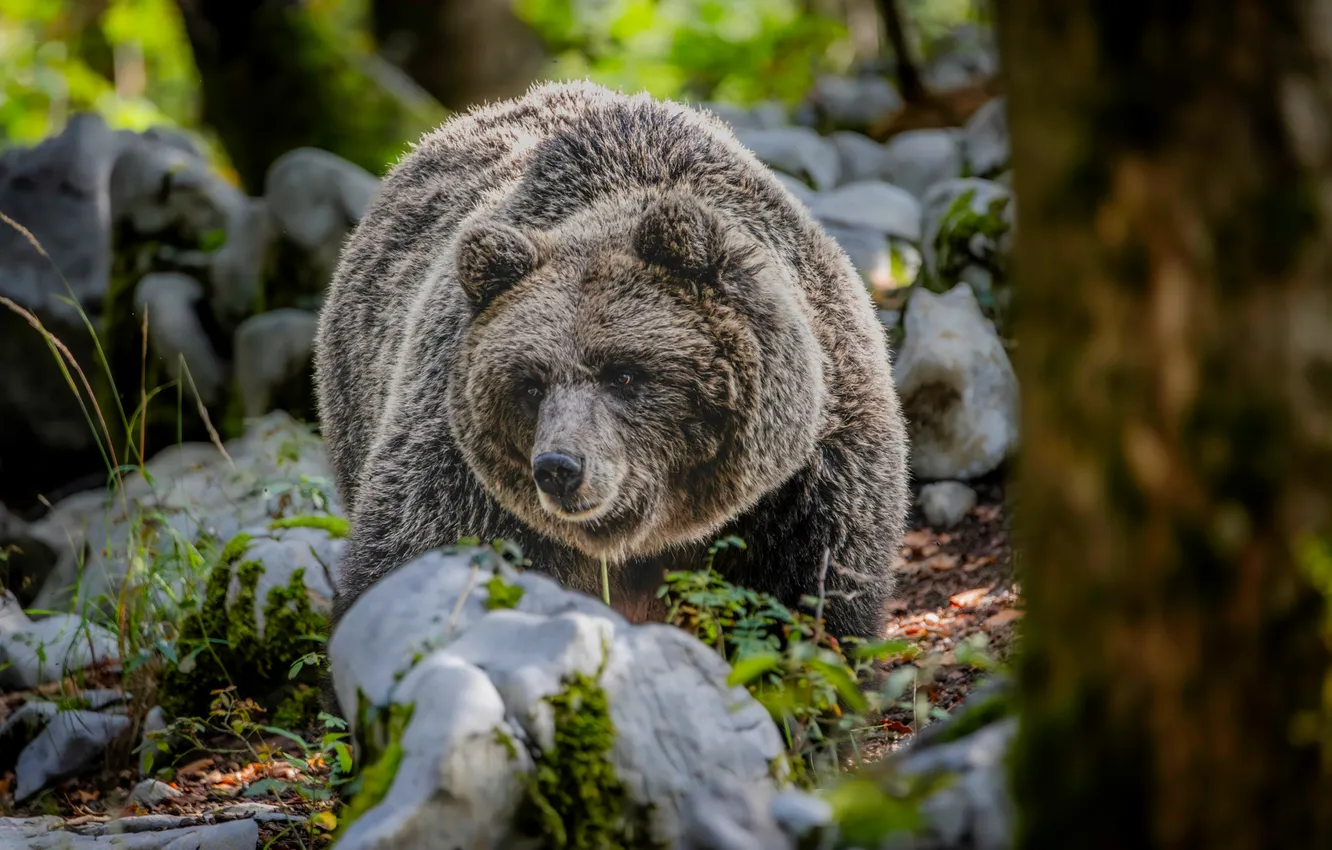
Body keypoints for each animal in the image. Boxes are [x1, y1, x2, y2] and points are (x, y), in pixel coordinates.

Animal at [313, 80, 911, 651]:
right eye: (529, 386)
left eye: (624, 373)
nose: (558, 467)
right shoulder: (455, 464)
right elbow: (411, 552)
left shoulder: (809, 475)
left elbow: (814, 591)